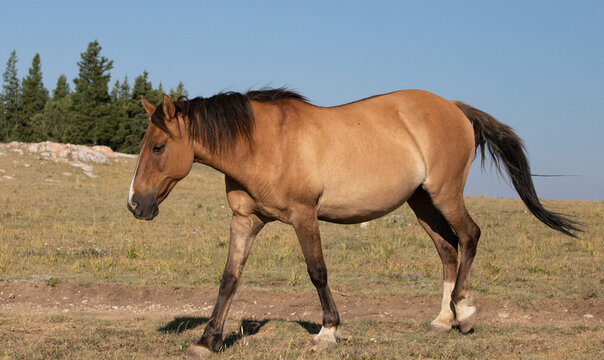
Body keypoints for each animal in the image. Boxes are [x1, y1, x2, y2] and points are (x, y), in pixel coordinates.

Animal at [126, 88, 580, 358]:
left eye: (159, 146)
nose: (135, 205)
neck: (263, 143)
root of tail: (454, 108)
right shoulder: (245, 220)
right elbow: (229, 279)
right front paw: (207, 340)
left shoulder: (304, 215)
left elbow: (318, 272)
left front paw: (329, 331)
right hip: (422, 202)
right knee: (448, 250)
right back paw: (442, 320)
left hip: (446, 194)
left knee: (469, 236)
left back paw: (465, 313)